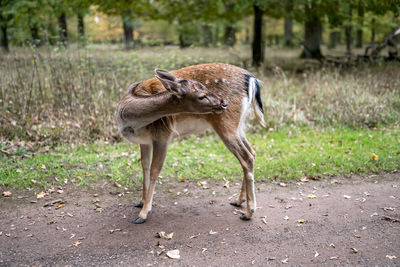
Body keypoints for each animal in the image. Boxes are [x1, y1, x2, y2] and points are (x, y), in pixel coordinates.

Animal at [116, 62, 266, 224]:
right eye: (201, 95)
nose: (222, 103)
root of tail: (251, 79)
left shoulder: (163, 135)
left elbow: (155, 170)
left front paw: (143, 214)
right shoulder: (144, 141)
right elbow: (144, 166)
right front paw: (141, 202)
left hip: (227, 123)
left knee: (246, 157)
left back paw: (248, 213)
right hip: (239, 125)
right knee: (252, 152)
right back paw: (238, 201)